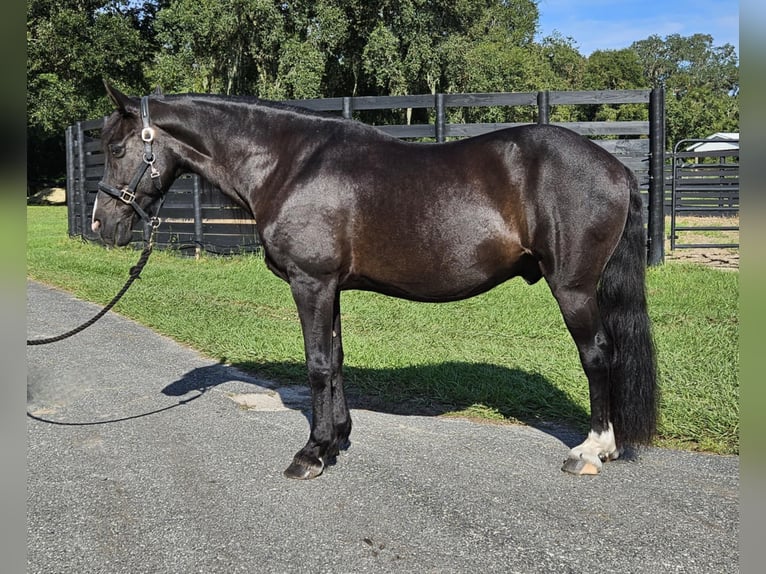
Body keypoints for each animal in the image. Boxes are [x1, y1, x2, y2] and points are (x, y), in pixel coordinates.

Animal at [94, 84, 660, 482]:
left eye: (118, 148)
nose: (103, 224)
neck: (289, 164)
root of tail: (615, 168)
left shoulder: (311, 282)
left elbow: (317, 364)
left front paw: (311, 453)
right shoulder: (330, 287)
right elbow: (336, 360)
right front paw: (336, 439)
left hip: (574, 288)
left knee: (597, 355)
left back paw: (592, 450)